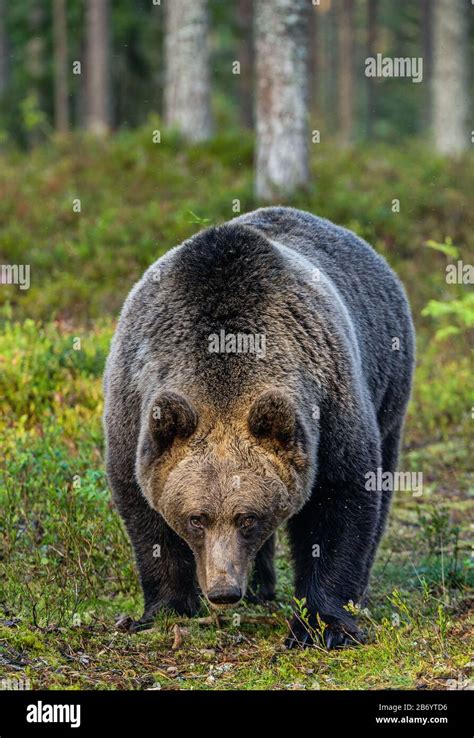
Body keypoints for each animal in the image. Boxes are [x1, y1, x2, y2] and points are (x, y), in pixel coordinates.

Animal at [103, 206, 414, 644]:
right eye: (196, 518)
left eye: (248, 518)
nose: (223, 590)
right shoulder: (134, 403)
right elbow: (144, 512)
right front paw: (165, 608)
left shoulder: (329, 404)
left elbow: (341, 502)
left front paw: (323, 625)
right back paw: (258, 587)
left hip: (388, 382)